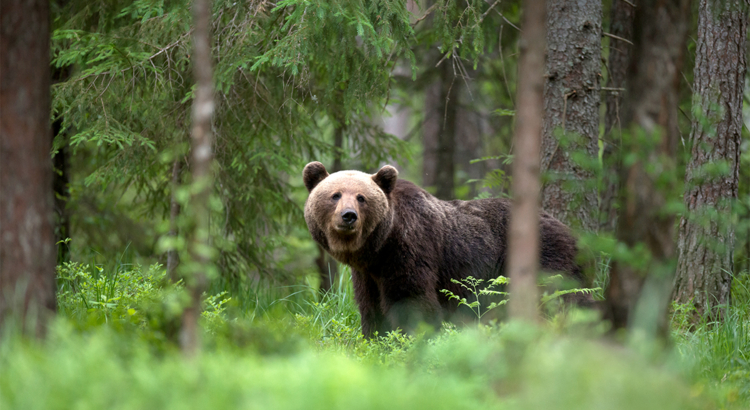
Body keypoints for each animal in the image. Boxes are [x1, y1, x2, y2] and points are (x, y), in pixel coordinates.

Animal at [304, 162, 588, 338]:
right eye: (335, 195)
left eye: (361, 197)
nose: (348, 216)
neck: (379, 247)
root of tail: (570, 231)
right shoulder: (368, 274)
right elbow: (370, 307)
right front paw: (376, 338)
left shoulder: (409, 249)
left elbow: (411, 300)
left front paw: (412, 339)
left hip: (545, 256)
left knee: (562, 298)